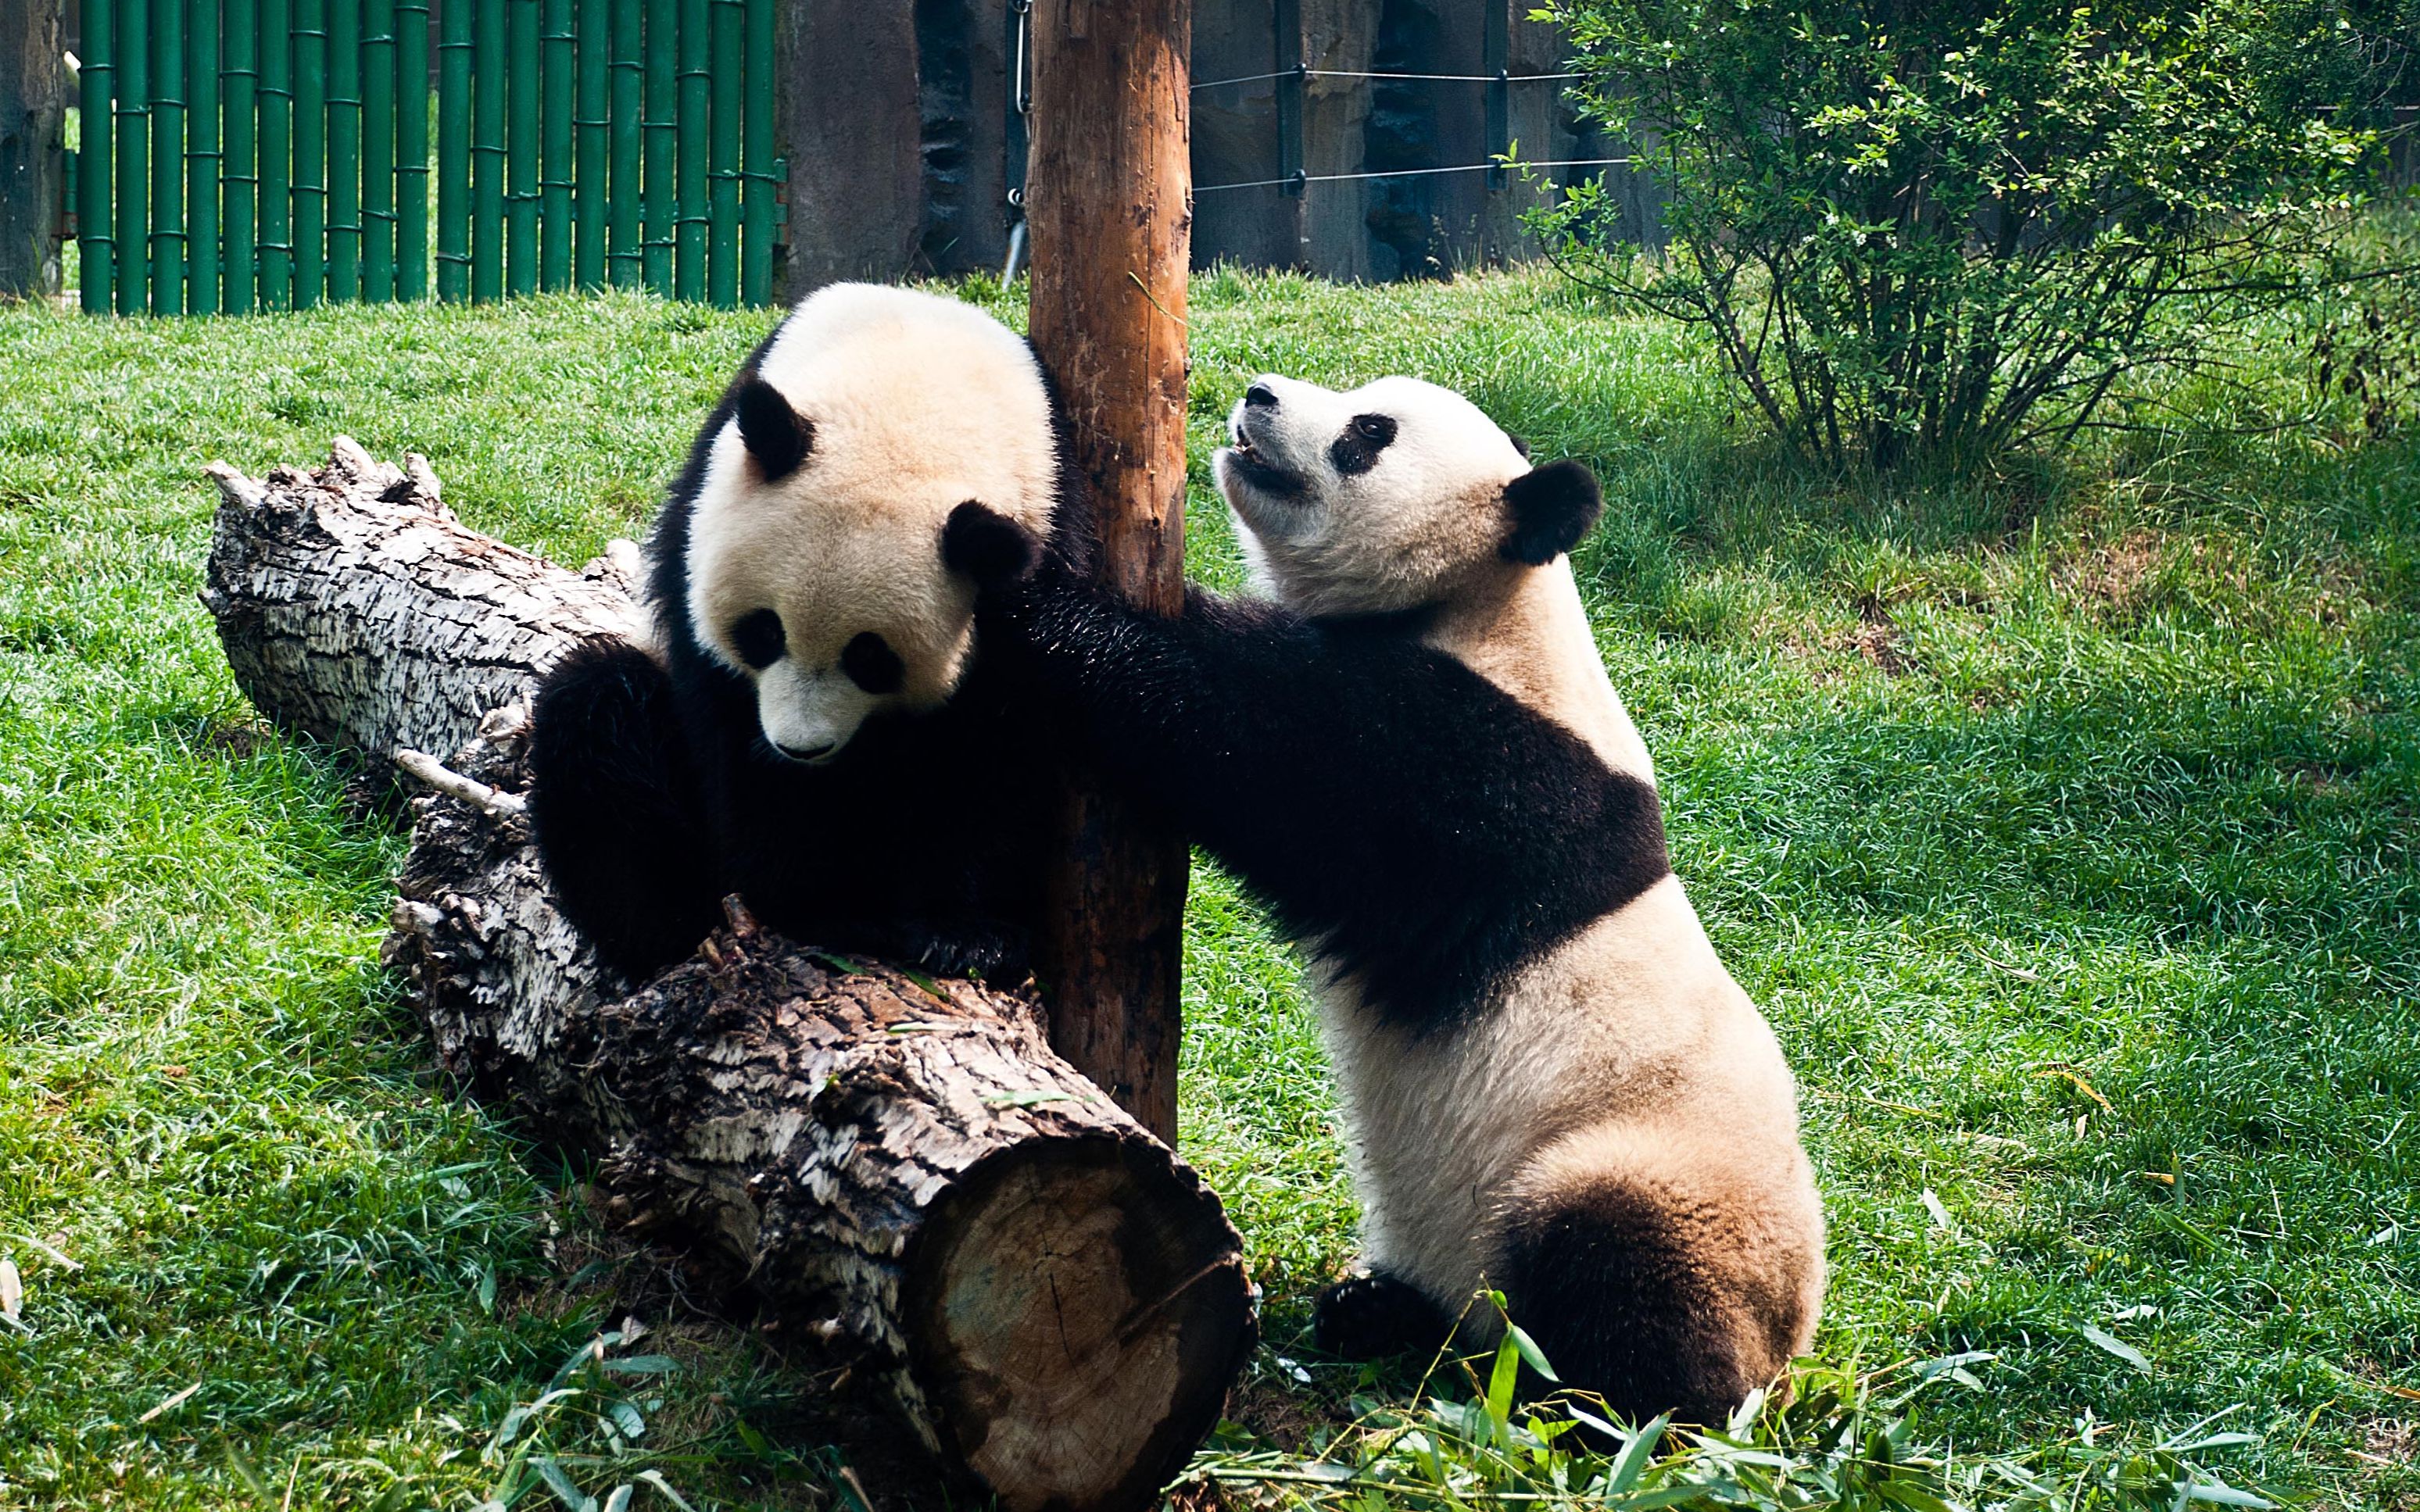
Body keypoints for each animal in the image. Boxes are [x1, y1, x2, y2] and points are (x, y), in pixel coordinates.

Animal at [537, 285, 1089, 977]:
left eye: (872, 659)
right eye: (764, 632)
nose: (800, 749)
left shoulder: (1033, 561)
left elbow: (991, 753)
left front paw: (963, 932)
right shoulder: (702, 522)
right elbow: (729, 741)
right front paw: (815, 902)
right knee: (596, 712)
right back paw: (667, 925)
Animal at [977, 372, 1820, 1422]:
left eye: (1366, 435)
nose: (1260, 392)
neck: (1489, 597)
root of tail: (1789, 1354)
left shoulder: (1481, 774)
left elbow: (1256, 745)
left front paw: (1022, 578)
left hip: (1657, 1173)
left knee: (1624, 1271)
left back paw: (1606, 1411)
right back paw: (1378, 1313)